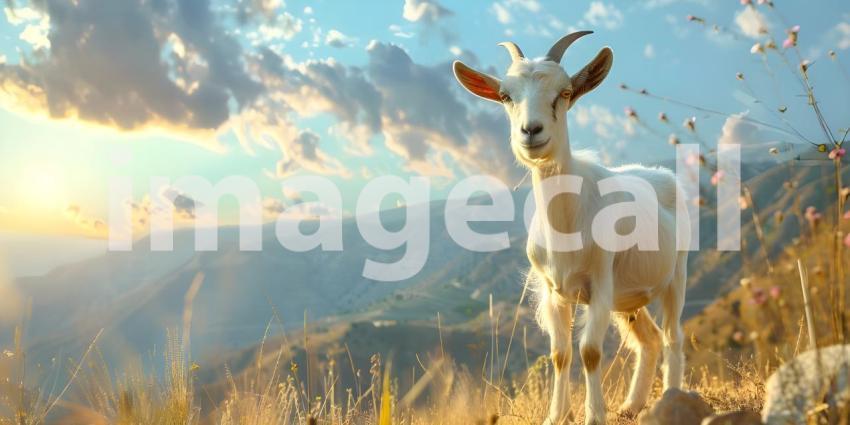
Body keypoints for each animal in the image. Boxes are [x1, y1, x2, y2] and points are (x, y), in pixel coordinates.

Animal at [453, 32, 688, 425]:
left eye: (564, 92)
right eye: (506, 95)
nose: (531, 131)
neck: (565, 226)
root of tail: (662, 175)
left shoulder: (601, 284)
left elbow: (590, 351)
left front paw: (594, 416)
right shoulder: (554, 291)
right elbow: (559, 353)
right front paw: (555, 415)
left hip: (675, 277)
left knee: (672, 335)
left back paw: (671, 398)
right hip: (628, 298)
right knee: (650, 339)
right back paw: (632, 405)